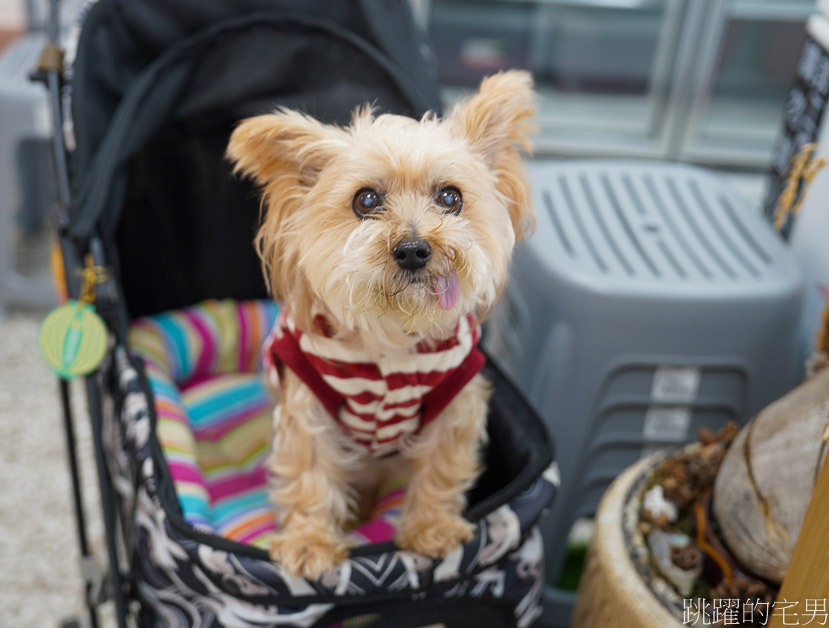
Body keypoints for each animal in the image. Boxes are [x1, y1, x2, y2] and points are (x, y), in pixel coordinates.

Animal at [226, 70, 536, 580]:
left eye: (450, 197)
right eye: (366, 200)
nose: (413, 248)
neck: (392, 340)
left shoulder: (457, 401)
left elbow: (441, 467)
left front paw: (431, 528)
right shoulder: (308, 410)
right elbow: (309, 475)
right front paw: (310, 542)